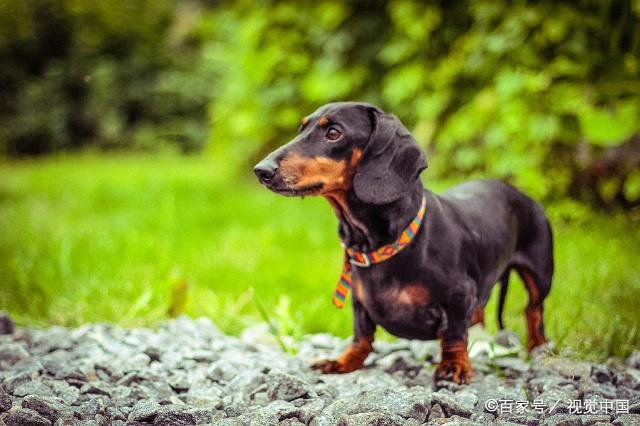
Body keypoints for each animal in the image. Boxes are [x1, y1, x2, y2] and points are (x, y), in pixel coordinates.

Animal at [252, 101, 552, 384]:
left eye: (334, 133)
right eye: (301, 129)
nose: (261, 171)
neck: (388, 243)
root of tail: (517, 191)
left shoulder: (459, 297)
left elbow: (454, 334)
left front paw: (454, 365)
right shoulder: (360, 304)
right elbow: (361, 336)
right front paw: (344, 361)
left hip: (539, 275)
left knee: (533, 310)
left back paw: (538, 348)